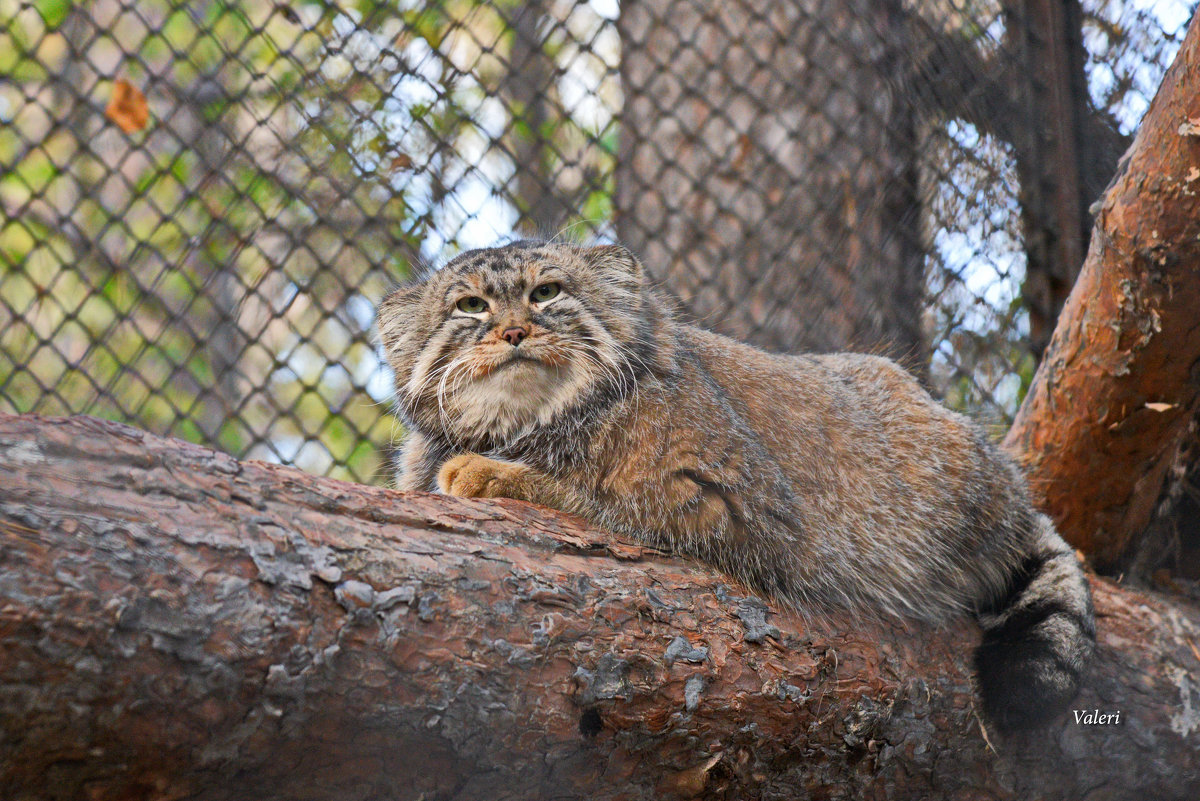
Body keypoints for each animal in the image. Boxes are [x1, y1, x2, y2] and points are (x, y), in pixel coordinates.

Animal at [379, 239, 1094, 733]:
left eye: (548, 293)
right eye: (471, 306)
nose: (514, 331)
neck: (537, 423)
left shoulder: (732, 512)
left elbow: (594, 499)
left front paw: (485, 471)